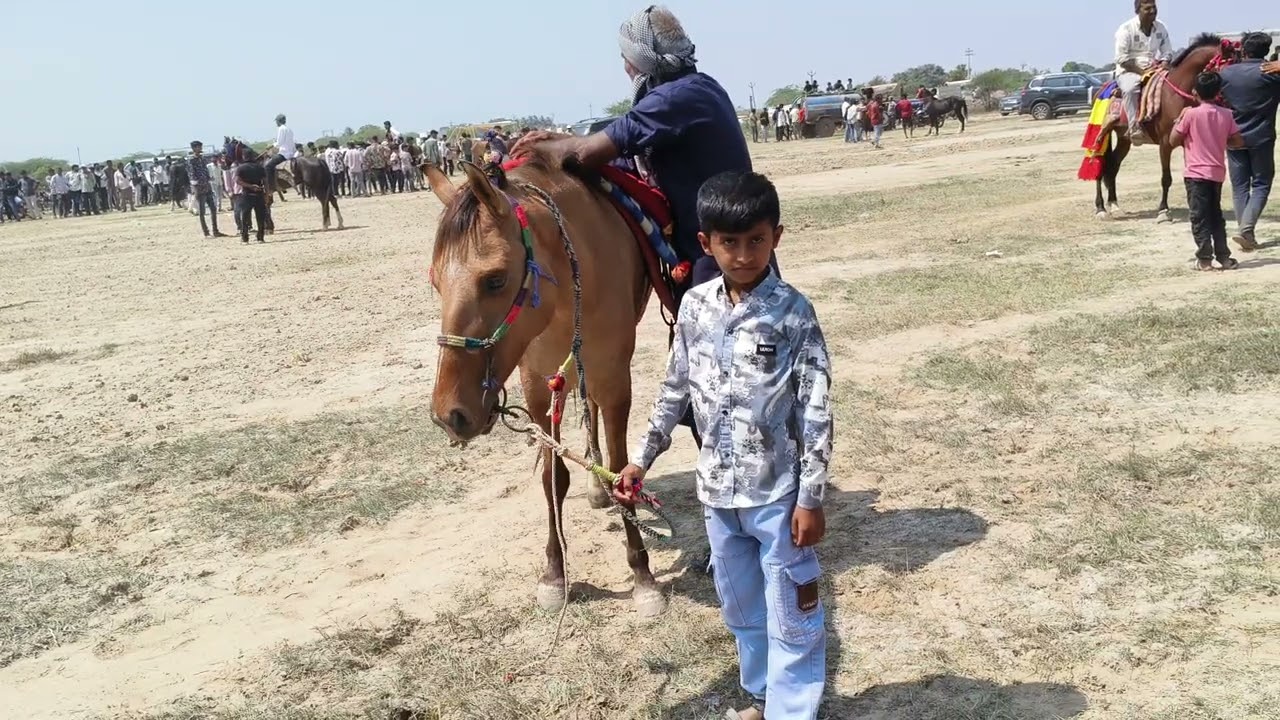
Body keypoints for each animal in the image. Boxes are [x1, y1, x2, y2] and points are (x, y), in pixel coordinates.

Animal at [423, 158, 665, 617]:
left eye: (495, 280)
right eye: (435, 281)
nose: (450, 414)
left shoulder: (614, 378)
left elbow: (624, 469)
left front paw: (643, 575)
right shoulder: (537, 383)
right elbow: (553, 477)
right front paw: (554, 574)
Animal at [1095, 33, 1234, 221]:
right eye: (1229, 65)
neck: (1175, 93)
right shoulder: (1165, 144)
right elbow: (1166, 178)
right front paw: (1163, 211)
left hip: (1124, 139)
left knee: (1112, 166)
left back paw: (1115, 206)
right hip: (1103, 135)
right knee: (1100, 165)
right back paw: (1100, 208)